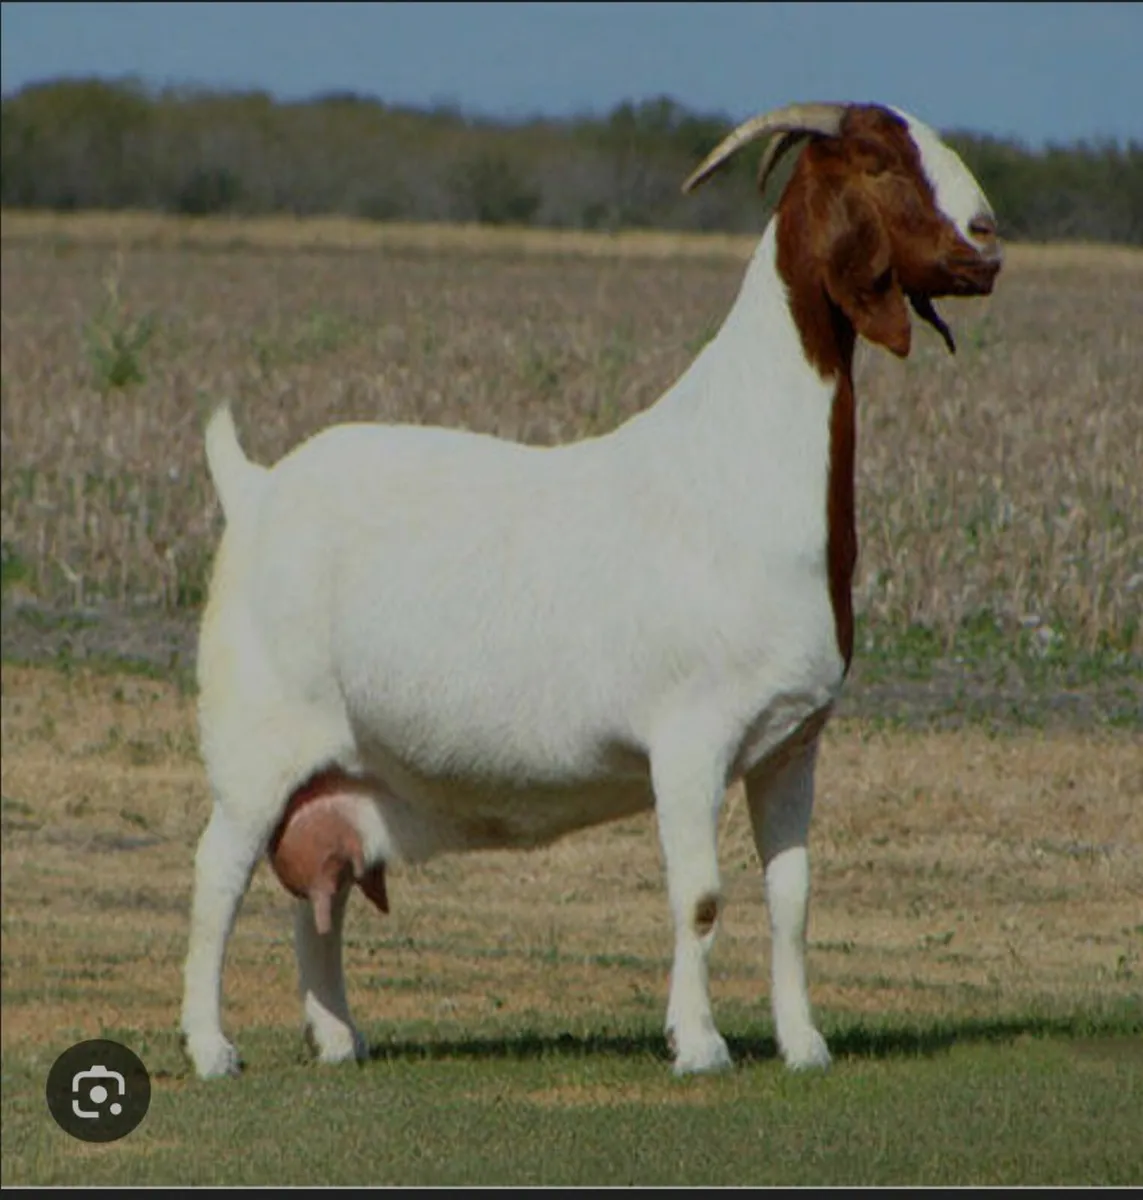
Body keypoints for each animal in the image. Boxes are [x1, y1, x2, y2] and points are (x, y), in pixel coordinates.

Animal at [181, 101, 1002, 1079]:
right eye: (877, 160)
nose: (986, 241)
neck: (741, 463)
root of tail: (255, 488)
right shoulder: (688, 740)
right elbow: (700, 896)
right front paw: (698, 1044)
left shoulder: (791, 744)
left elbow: (792, 897)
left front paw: (804, 1043)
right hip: (255, 742)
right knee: (218, 873)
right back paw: (210, 1047)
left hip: (338, 772)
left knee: (322, 890)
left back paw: (340, 1037)